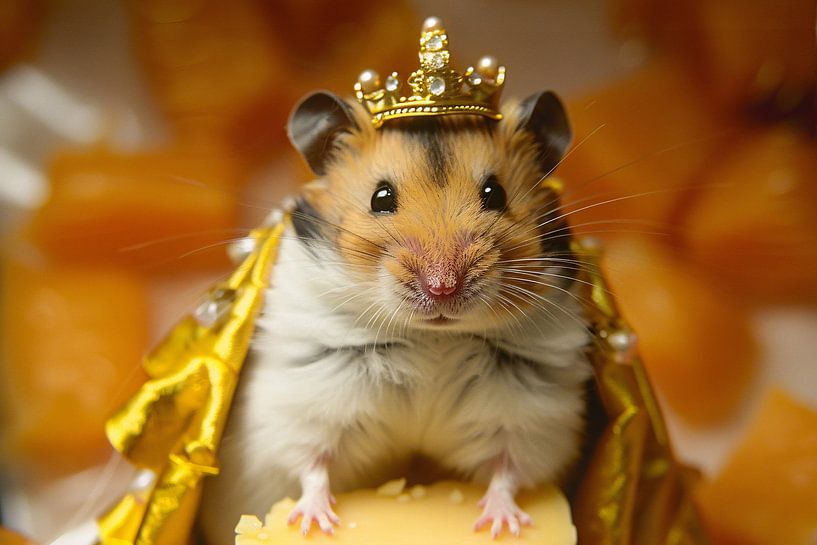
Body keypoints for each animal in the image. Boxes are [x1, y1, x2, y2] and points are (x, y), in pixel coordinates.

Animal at [198, 90, 592, 543]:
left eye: (495, 194)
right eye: (381, 198)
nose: (442, 287)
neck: (433, 337)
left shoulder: (532, 418)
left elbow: (508, 471)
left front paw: (501, 525)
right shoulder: (306, 403)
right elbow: (311, 464)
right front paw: (316, 524)